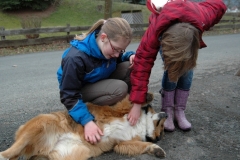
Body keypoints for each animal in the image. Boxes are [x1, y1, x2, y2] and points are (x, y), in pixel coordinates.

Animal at [0, 93, 168, 159]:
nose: (166, 114)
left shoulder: (122, 143)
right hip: (42, 123)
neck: (141, 125)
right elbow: (130, 102)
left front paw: (156, 149)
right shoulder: (117, 109)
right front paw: (147, 96)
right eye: (162, 127)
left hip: (77, 153)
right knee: (10, 151)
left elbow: (142, 145)